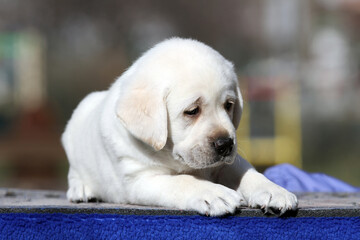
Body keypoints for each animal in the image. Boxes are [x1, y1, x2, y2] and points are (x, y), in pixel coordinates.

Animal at [62, 37, 298, 216]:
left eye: (228, 105)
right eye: (192, 111)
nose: (225, 144)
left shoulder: (226, 164)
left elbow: (248, 173)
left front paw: (273, 191)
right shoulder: (140, 180)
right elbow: (182, 181)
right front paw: (215, 194)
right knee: (74, 173)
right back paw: (81, 189)